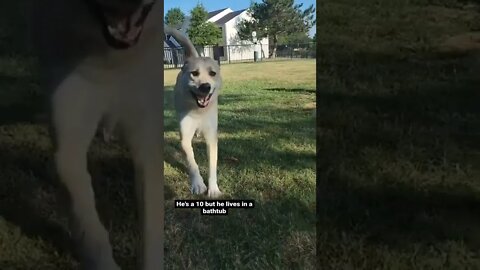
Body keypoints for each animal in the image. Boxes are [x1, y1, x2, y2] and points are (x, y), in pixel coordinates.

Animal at [165, 26, 223, 197]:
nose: (205, 87)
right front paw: (198, 184)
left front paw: (213, 188)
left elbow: (212, 166)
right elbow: (192, 163)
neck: (198, 111)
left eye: (212, 73)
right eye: (194, 73)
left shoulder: (211, 138)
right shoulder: (184, 138)